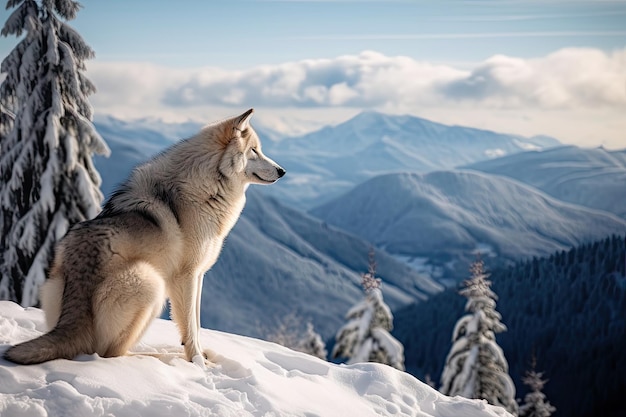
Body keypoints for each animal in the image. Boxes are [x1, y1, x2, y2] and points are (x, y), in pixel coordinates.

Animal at [2, 108, 284, 364]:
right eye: (254, 151)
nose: (282, 171)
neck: (209, 187)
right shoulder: (186, 276)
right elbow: (189, 327)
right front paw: (198, 364)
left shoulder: (199, 275)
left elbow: (197, 322)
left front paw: (203, 357)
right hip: (151, 283)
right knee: (109, 354)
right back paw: (156, 358)